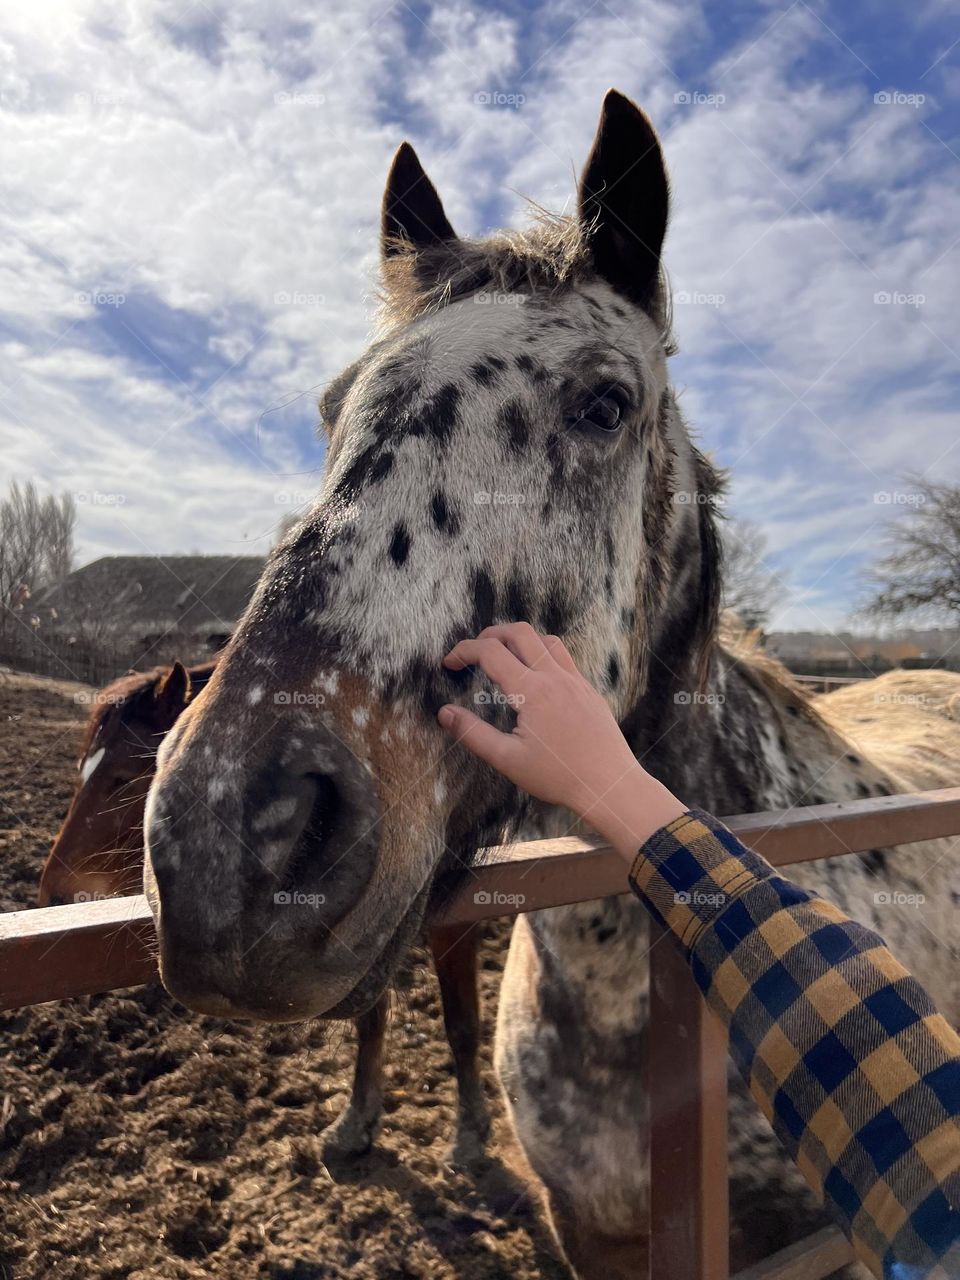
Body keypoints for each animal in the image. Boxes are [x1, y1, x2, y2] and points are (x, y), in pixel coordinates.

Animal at [39, 660, 488, 1162]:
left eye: (122, 777)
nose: (54, 892)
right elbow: (370, 1018)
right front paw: (357, 1121)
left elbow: (461, 1022)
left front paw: (470, 1131)